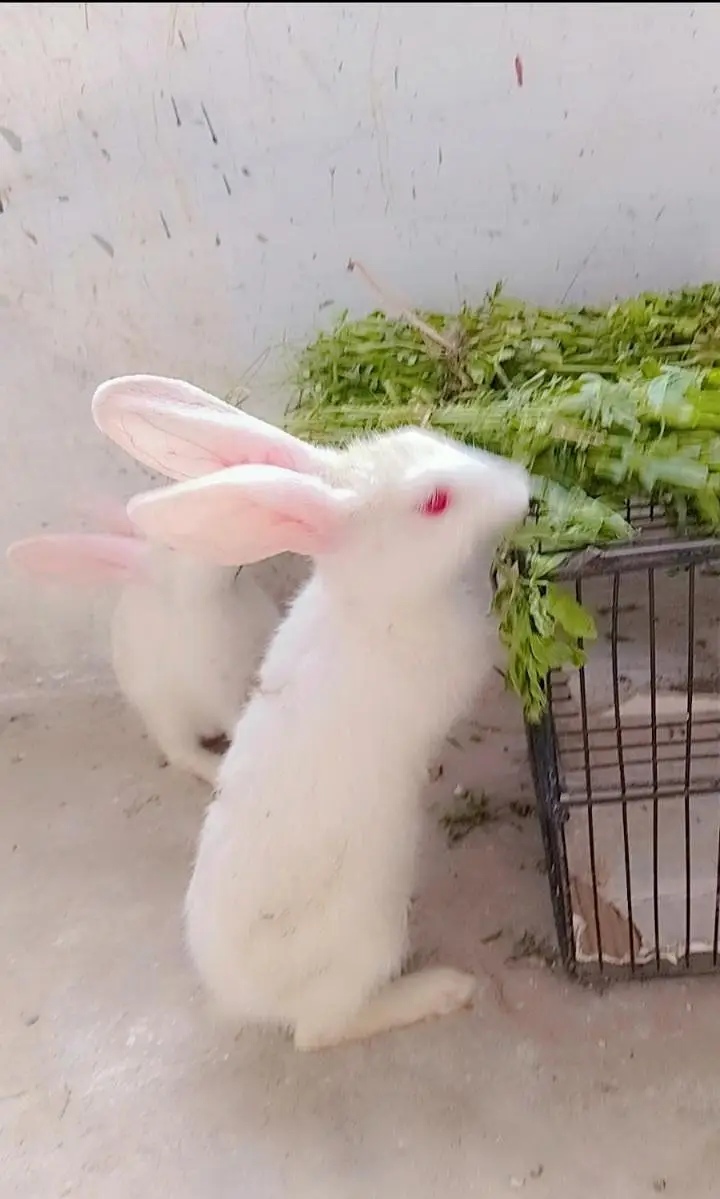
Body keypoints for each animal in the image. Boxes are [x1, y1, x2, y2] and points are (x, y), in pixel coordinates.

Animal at [93, 377, 530, 1051]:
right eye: (435, 502)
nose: (524, 486)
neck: (377, 602)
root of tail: (239, 996)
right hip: (369, 936)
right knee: (320, 1031)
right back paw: (442, 989)